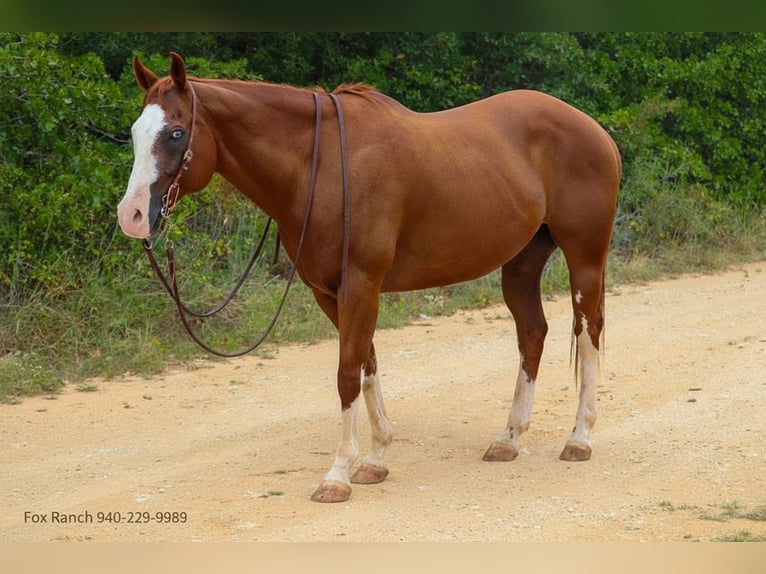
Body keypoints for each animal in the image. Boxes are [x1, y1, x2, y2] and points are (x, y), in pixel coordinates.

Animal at [118, 53, 621, 503]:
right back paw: (509, 438)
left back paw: (579, 438)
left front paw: (337, 475)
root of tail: (597, 131)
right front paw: (376, 460)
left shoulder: (361, 284)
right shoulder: (331, 293)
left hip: (584, 259)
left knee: (589, 333)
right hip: (520, 266)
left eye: (176, 133)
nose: (132, 215)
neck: (320, 168)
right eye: (136, 133)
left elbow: (346, 373)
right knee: (532, 333)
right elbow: (366, 365)